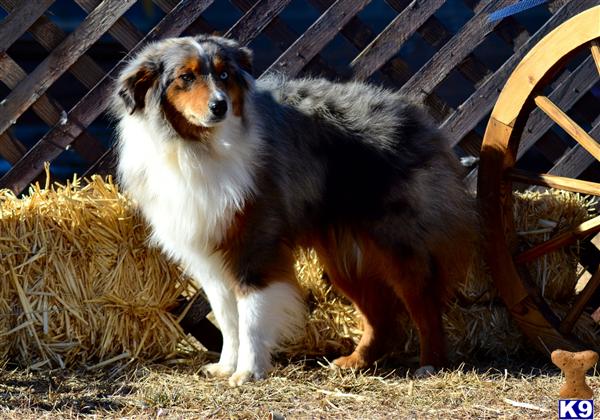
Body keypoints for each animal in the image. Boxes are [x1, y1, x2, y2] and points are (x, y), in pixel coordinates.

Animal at [111, 35, 478, 384]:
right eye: (186, 77)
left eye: (224, 74)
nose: (220, 106)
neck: (197, 146)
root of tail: (413, 112)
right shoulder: (211, 257)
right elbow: (228, 320)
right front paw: (225, 367)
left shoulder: (256, 246)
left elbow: (251, 317)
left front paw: (248, 372)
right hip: (346, 260)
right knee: (382, 318)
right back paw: (355, 362)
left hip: (397, 245)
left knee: (424, 302)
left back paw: (430, 364)